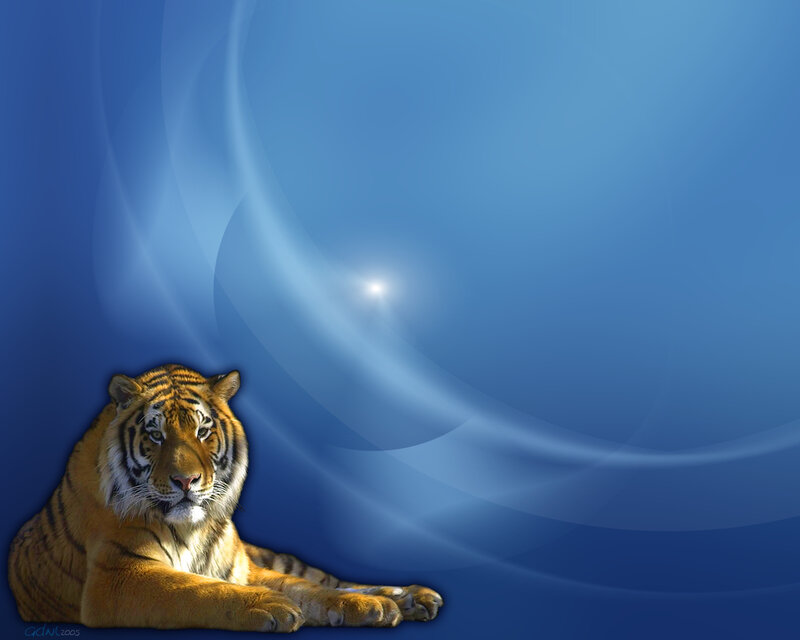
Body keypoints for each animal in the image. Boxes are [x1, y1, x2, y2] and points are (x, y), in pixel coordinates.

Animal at [8, 364, 442, 632]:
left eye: (203, 432)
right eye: (156, 435)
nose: (186, 480)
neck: (192, 530)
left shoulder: (243, 569)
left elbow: (310, 589)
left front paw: (370, 607)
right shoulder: (117, 576)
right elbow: (194, 590)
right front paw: (268, 606)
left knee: (332, 579)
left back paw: (411, 597)